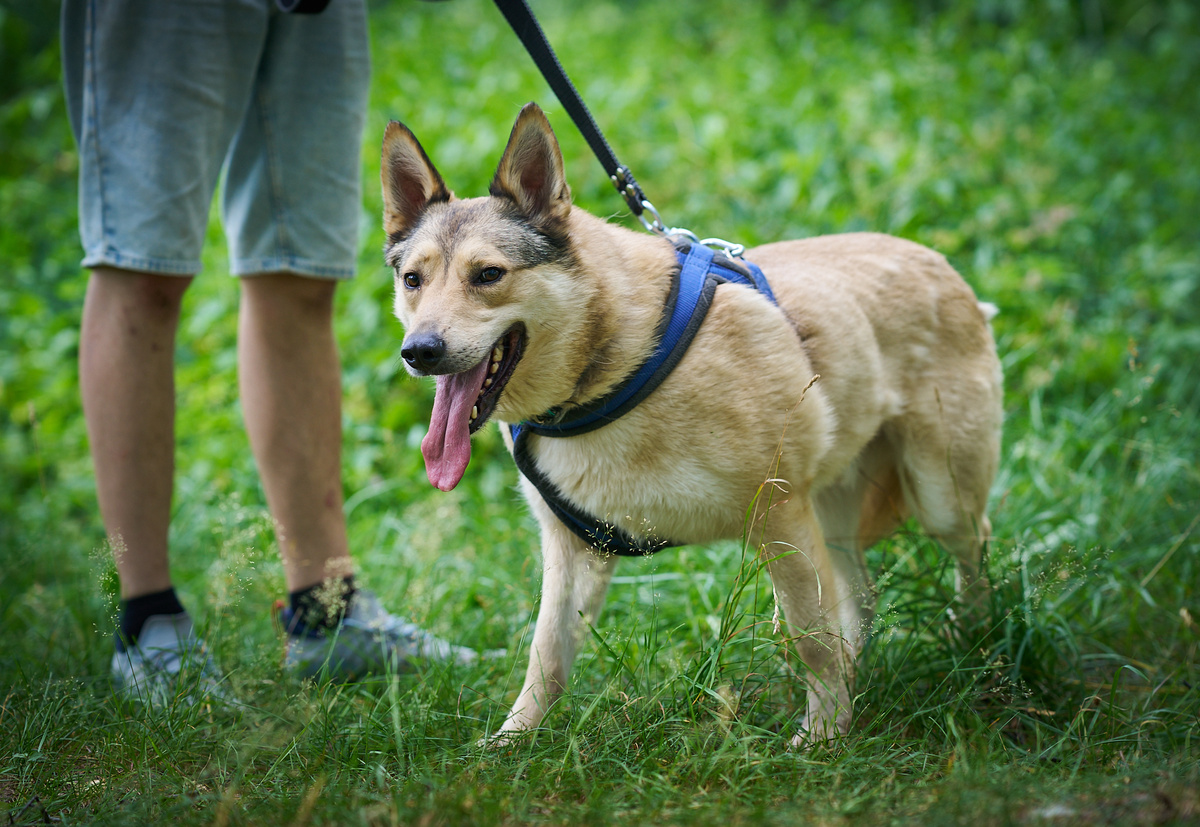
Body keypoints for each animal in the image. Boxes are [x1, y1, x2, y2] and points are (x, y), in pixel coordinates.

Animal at [379, 101, 998, 744]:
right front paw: (513, 742)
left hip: (937, 495)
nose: (419, 351)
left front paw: (822, 738)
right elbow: (545, 655)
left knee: (971, 548)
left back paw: (971, 644)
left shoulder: (781, 516)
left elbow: (809, 638)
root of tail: (938, 263)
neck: (614, 370)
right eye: (413, 280)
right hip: (834, 513)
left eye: (488, 275)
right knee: (860, 597)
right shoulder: (571, 549)